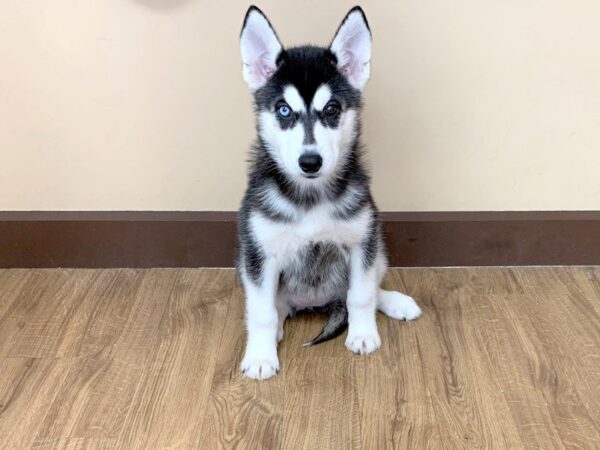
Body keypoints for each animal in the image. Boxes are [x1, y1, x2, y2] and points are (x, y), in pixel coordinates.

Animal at [237, 6, 420, 380]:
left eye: (332, 108)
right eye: (283, 110)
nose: (310, 161)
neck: (311, 196)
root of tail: (315, 304)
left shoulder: (361, 242)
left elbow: (361, 295)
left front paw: (363, 334)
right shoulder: (259, 254)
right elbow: (261, 312)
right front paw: (261, 355)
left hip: (378, 247)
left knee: (368, 287)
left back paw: (394, 301)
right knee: (274, 306)